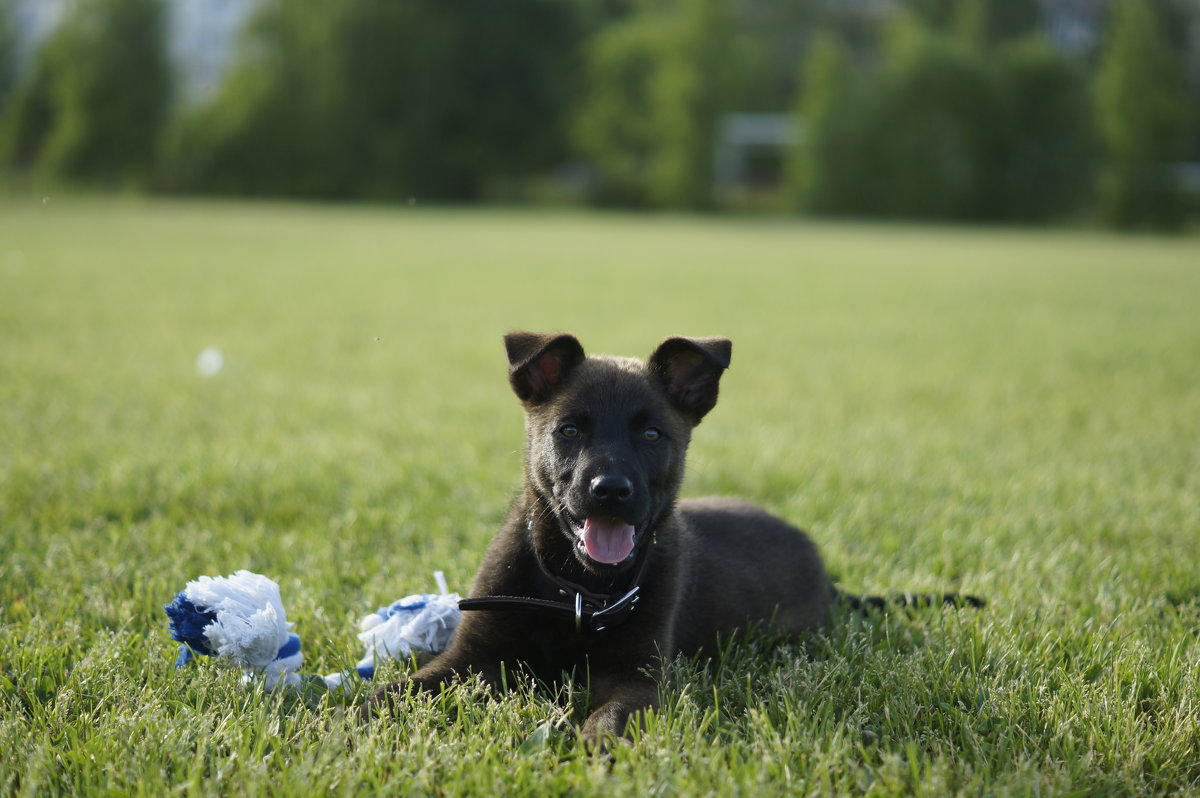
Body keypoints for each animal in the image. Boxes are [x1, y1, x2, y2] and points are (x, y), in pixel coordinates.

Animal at [362, 328, 974, 748]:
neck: (577, 593)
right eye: (569, 429)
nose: (610, 490)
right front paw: (345, 721)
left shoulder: (638, 676)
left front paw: (591, 752)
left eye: (653, 434)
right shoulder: (471, 657)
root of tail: (828, 578)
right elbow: (394, 692)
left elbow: (608, 720)